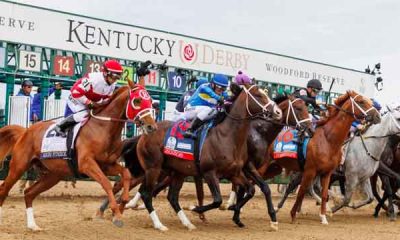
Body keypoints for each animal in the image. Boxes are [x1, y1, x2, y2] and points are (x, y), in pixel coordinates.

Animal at [0, 79, 158, 231]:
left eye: (150, 101)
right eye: (137, 101)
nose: (152, 127)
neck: (102, 129)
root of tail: (25, 131)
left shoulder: (107, 165)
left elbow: (126, 174)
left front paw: (122, 205)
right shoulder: (86, 164)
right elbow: (106, 183)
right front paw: (116, 215)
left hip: (53, 175)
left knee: (29, 193)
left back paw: (33, 226)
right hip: (18, 167)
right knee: (4, 189)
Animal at [131, 83, 282, 231]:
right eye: (258, 95)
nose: (278, 112)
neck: (227, 136)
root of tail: (146, 132)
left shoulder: (234, 173)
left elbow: (250, 190)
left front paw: (234, 211)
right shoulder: (209, 172)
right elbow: (217, 200)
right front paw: (194, 208)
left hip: (178, 171)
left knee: (172, 197)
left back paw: (187, 223)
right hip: (154, 168)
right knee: (147, 194)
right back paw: (158, 224)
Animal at [256, 90, 382, 225]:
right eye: (361, 101)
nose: (378, 116)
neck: (328, 139)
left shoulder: (327, 173)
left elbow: (324, 194)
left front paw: (324, 216)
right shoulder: (310, 171)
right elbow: (302, 191)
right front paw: (293, 214)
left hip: (274, 167)